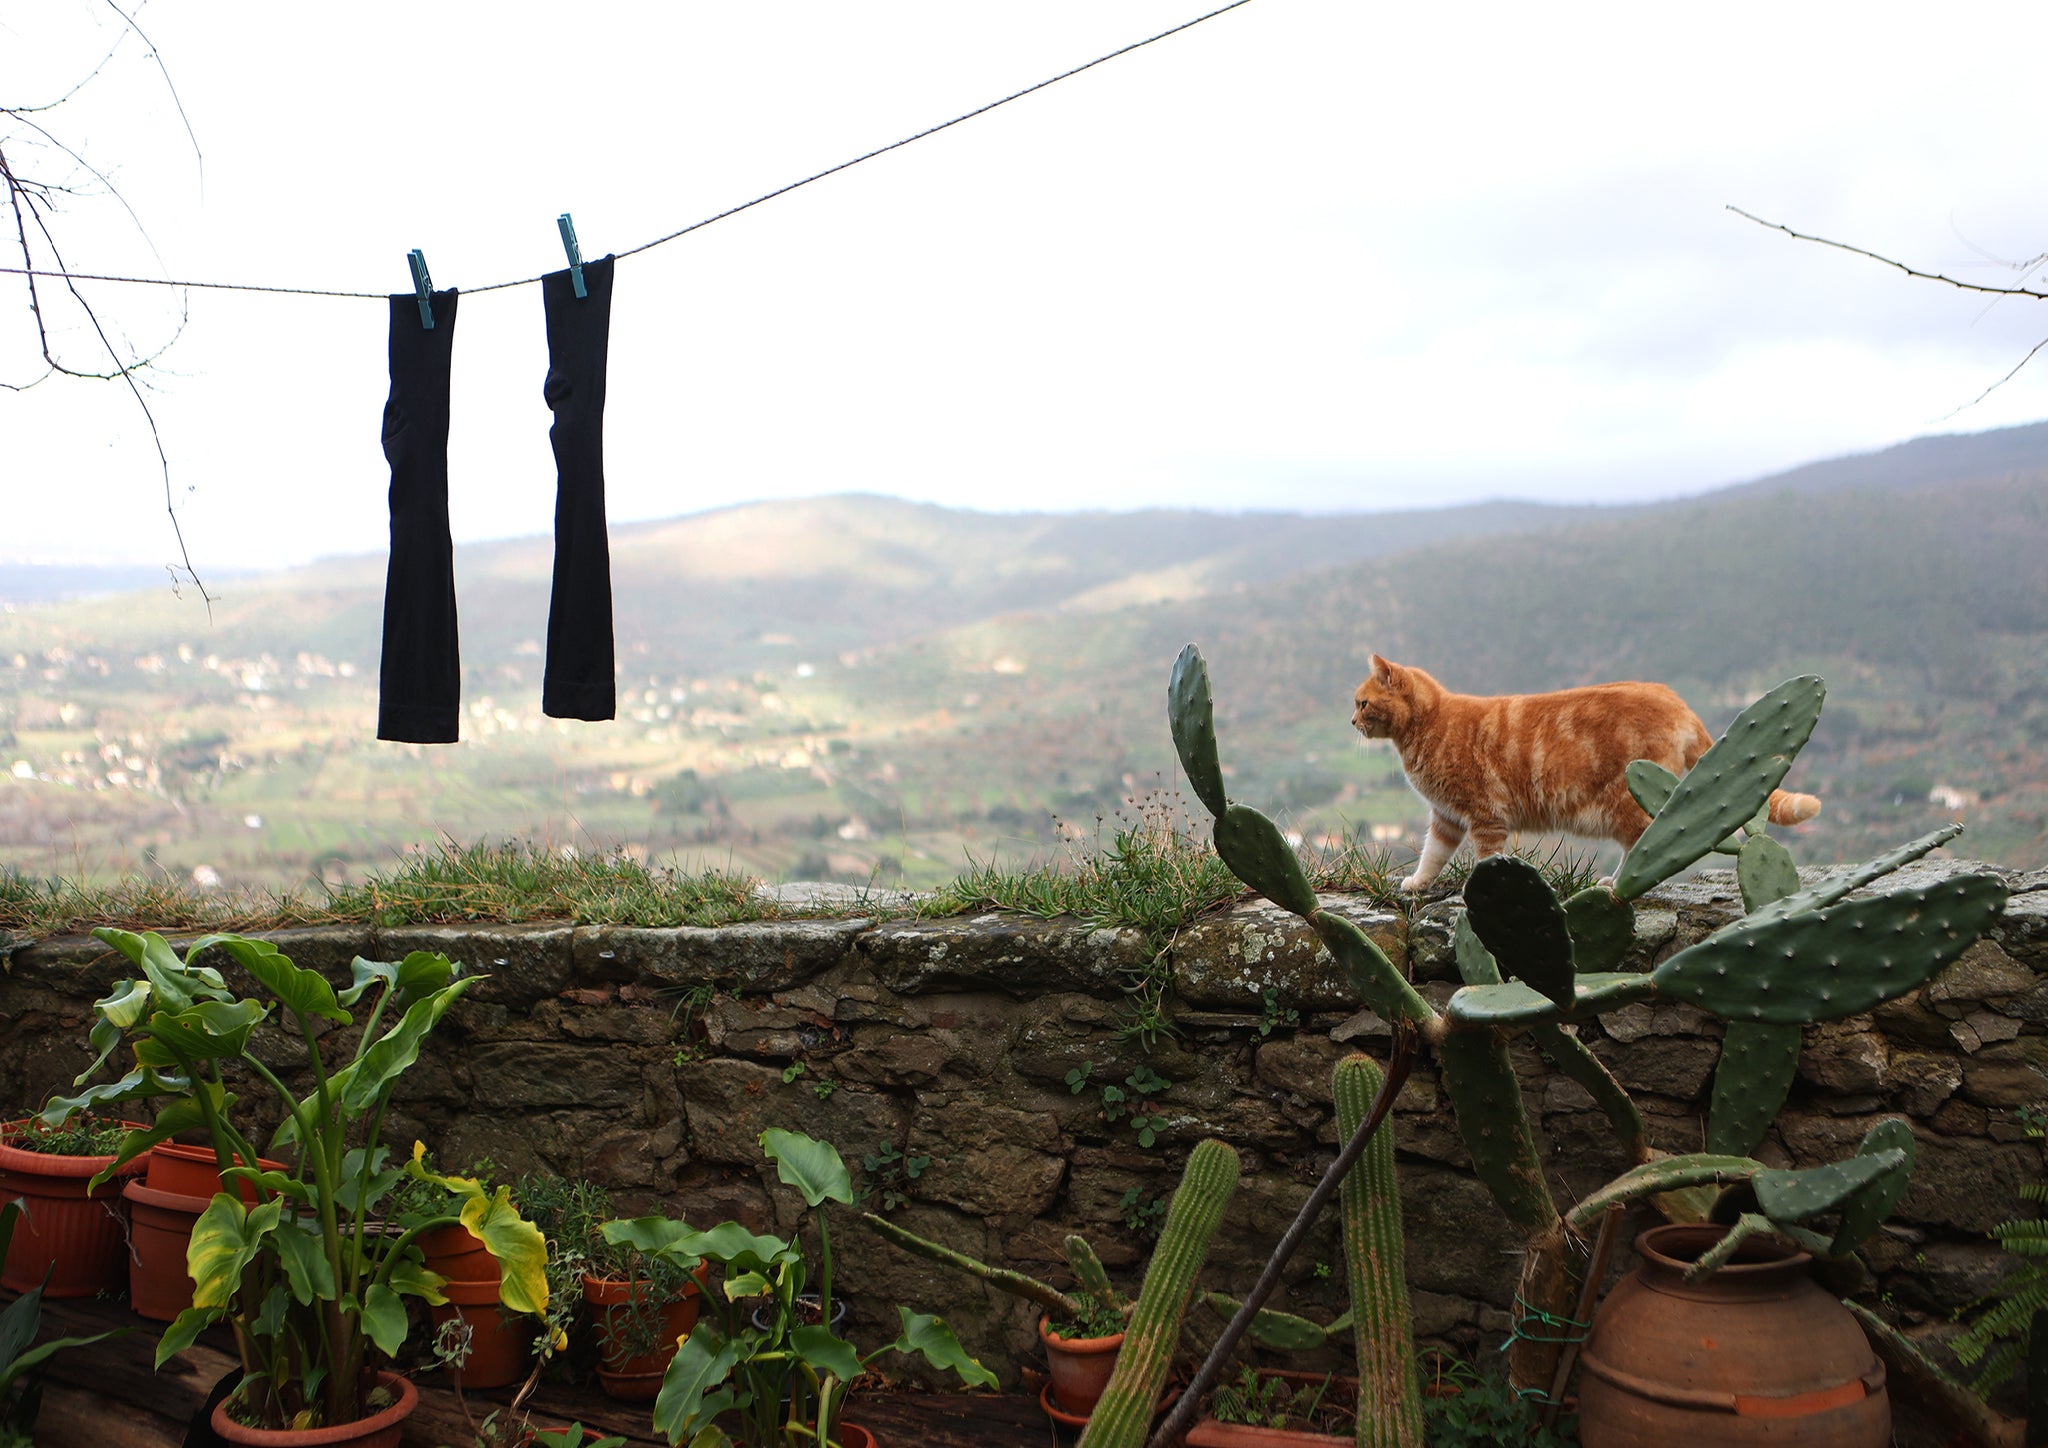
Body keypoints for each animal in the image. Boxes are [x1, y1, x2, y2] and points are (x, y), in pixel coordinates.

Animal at [1351, 659, 1818, 888]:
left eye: (1362, 703)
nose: (1351, 722)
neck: (1428, 726)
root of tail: (1676, 699)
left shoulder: (1485, 817)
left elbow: (1485, 860)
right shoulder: (1446, 818)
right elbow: (1432, 854)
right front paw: (1416, 883)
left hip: (1627, 801)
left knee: (1647, 843)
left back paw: (1618, 882)